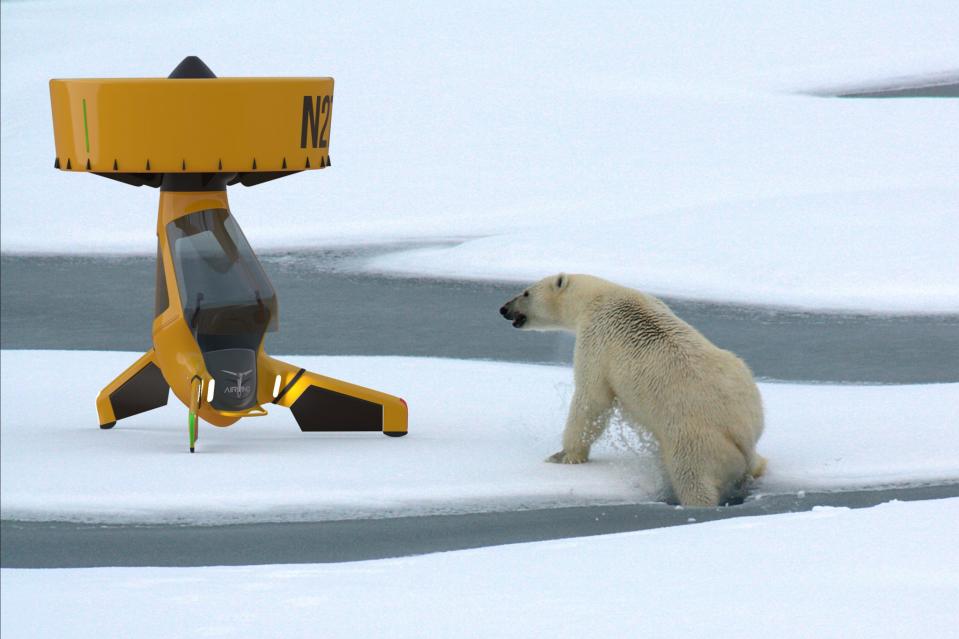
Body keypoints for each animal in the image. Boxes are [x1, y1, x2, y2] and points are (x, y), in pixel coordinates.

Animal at [502, 272, 764, 508]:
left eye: (525, 292)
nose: (503, 309)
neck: (598, 296)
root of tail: (740, 431)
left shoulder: (596, 339)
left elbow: (592, 399)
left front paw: (564, 455)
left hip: (694, 441)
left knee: (692, 479)